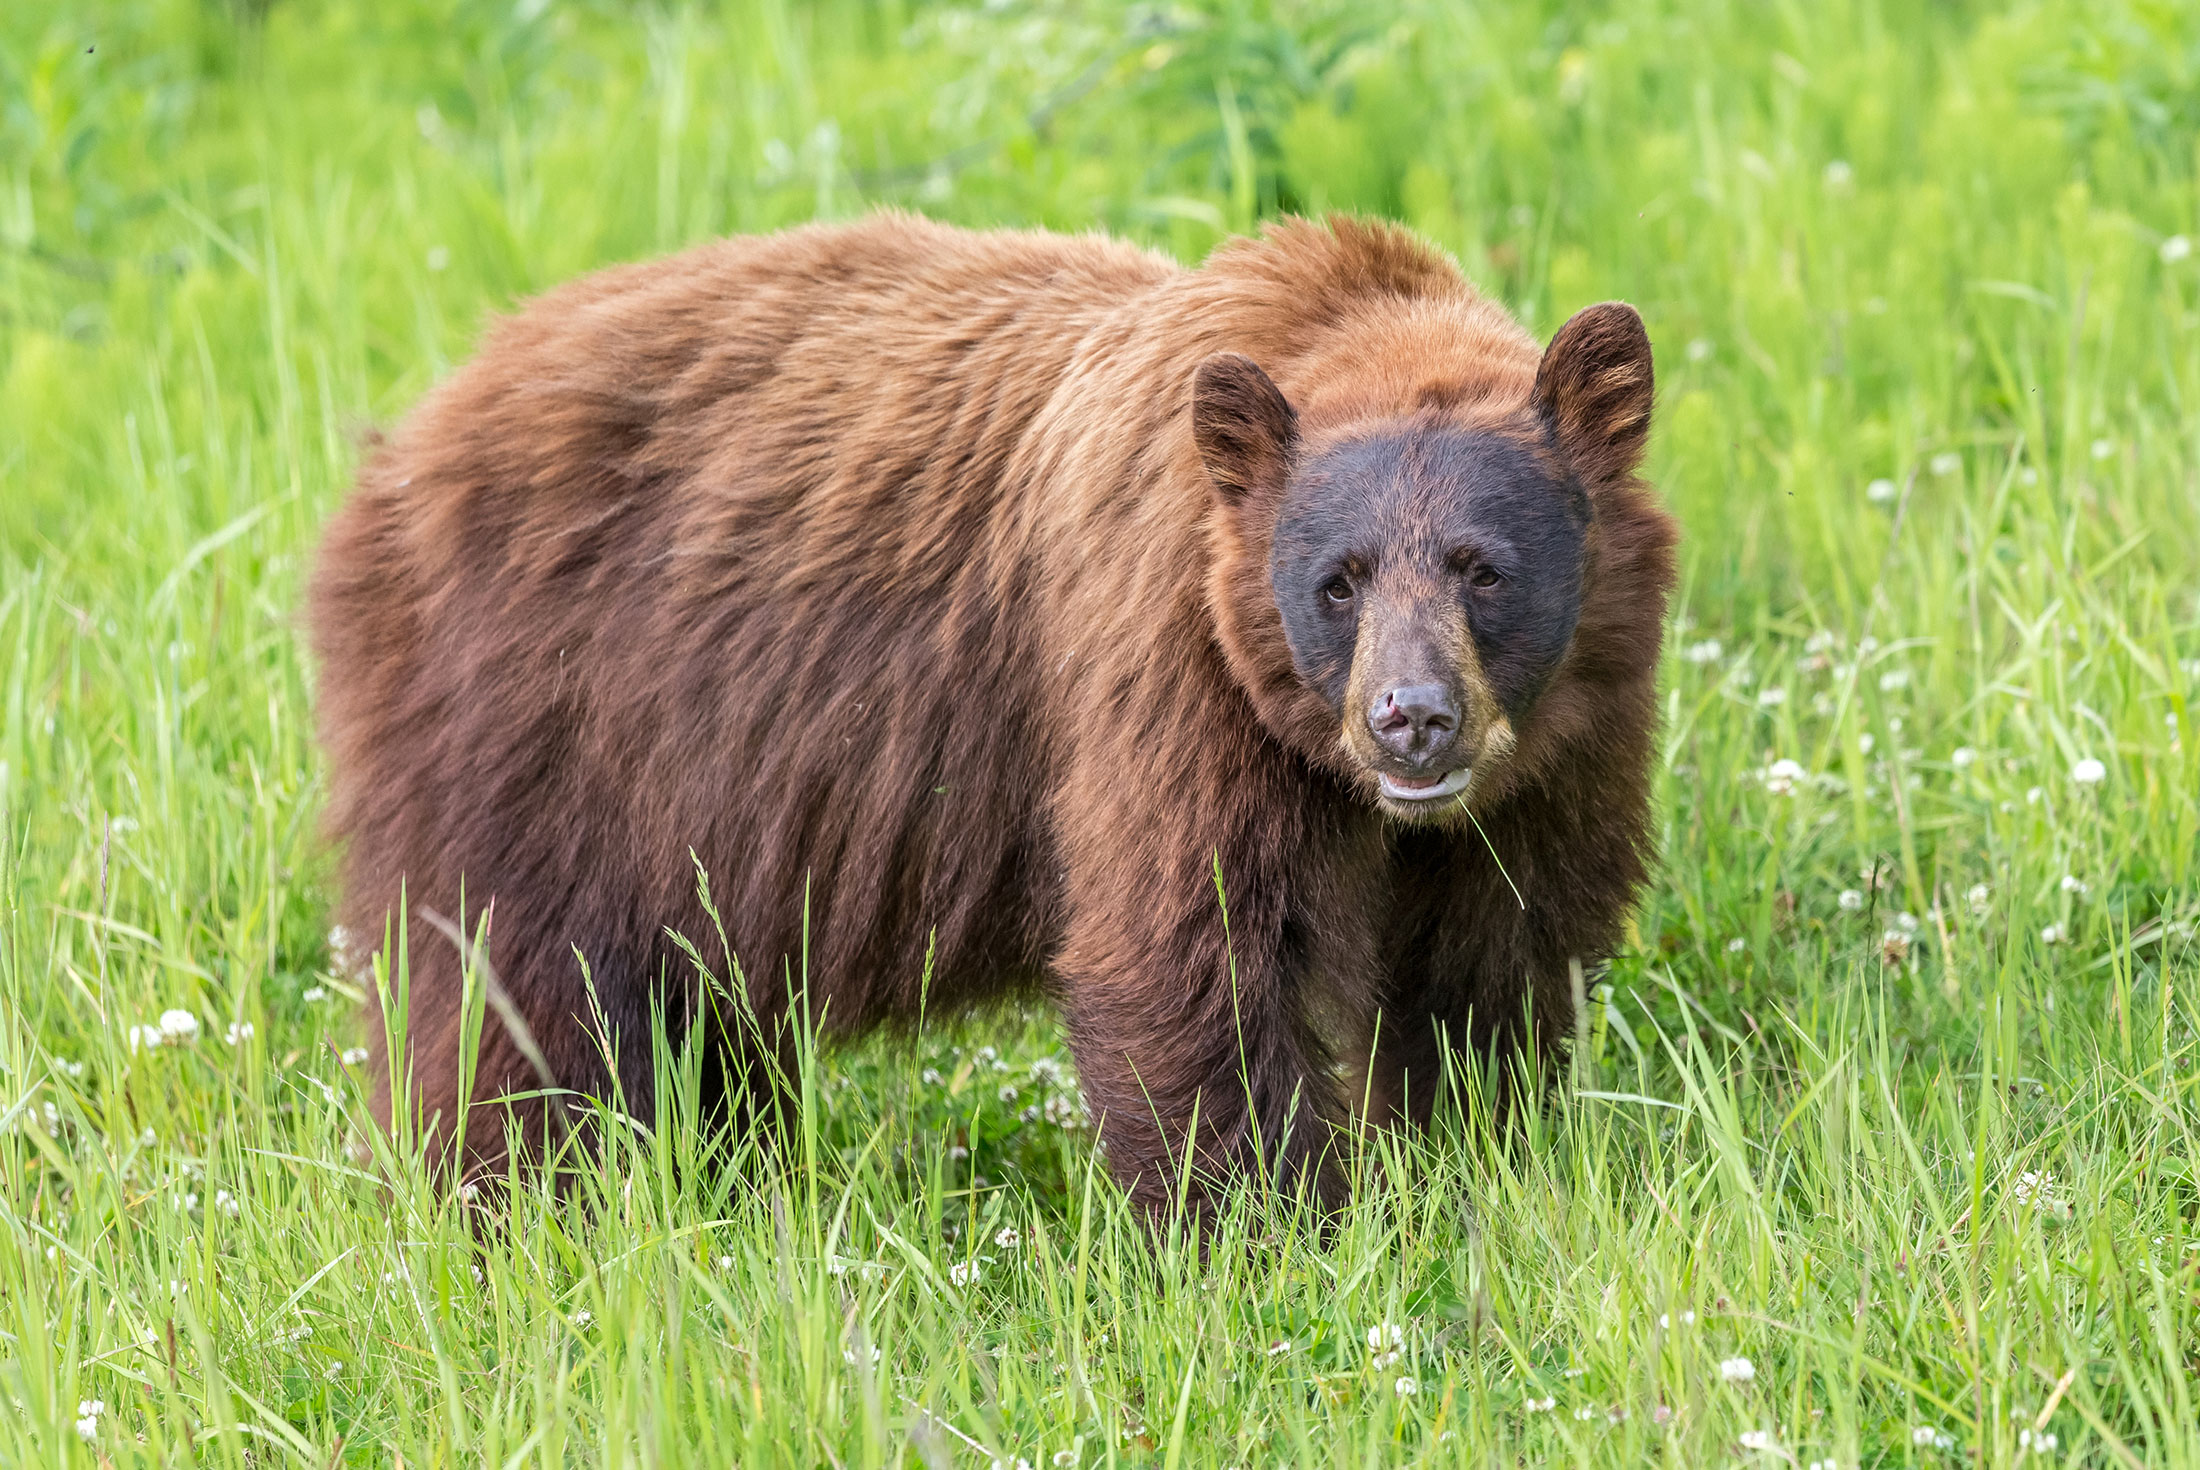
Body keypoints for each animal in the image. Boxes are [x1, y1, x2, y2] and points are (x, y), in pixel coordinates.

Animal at [310, 209, 1672, 1214]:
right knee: (517, 996)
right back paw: (526, 1205)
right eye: (1338, 580)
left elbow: (1488, 957)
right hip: (538, 722)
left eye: (1482, 567)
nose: (1410, 720)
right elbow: (1198, 949)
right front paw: (1267, 1234)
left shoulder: (1559, 755)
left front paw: (1474, 1167)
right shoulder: (1168, 673)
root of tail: (406, 441)